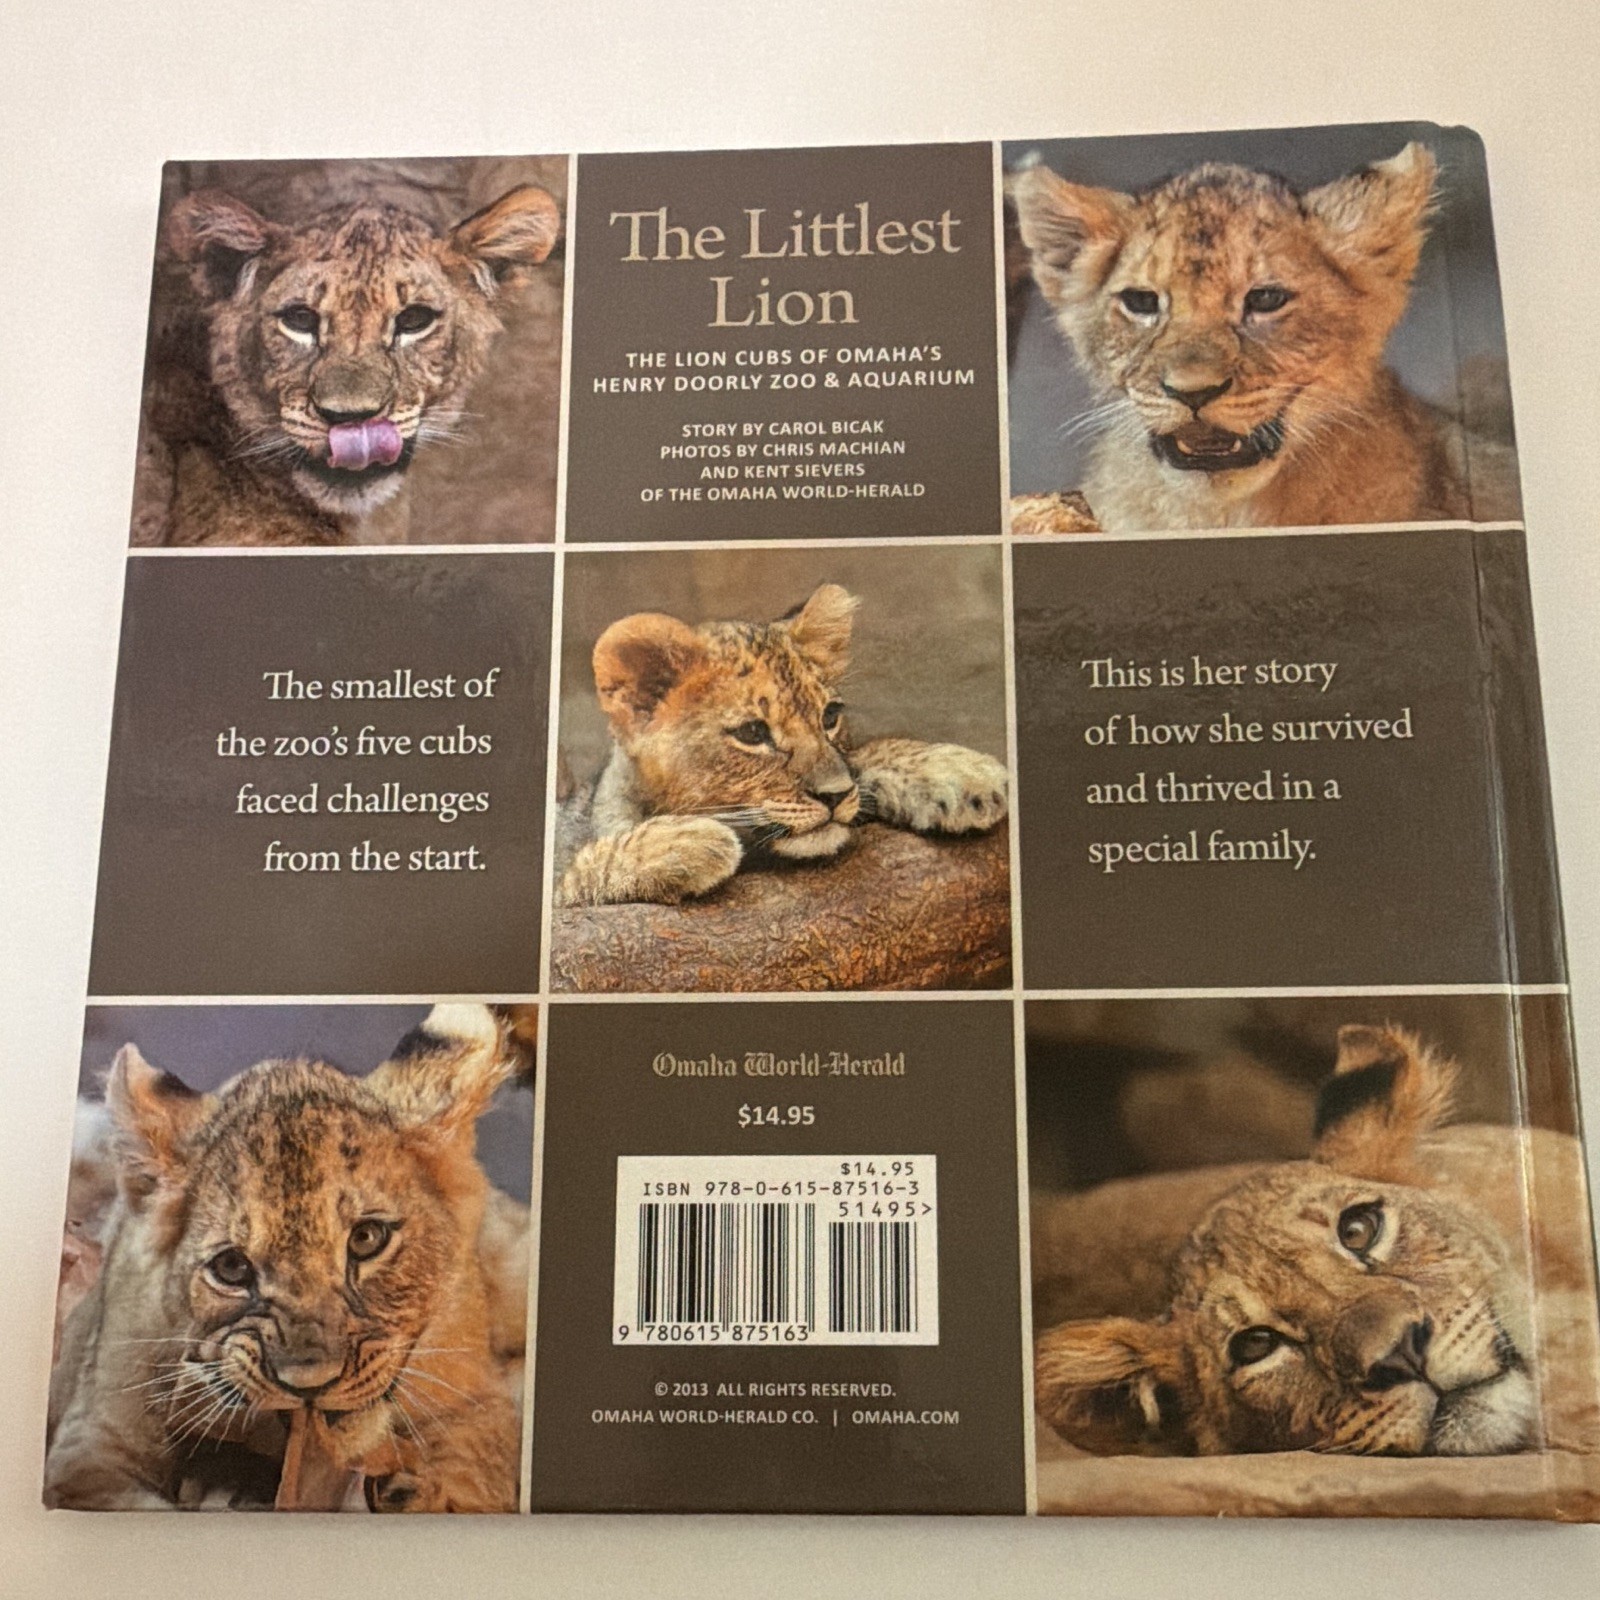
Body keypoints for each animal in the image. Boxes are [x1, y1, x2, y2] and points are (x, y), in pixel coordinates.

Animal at [45, 1004, 531, 1512]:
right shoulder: (91, 1446)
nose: (310, 1386)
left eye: (367, 1238)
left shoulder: (477, 1402)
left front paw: (414, 1493)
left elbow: (474, 1473)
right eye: (232, 1268)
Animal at [553, 582, 1009, 906]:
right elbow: (569, 875)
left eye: (830, 717)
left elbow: (859, 758)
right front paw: (685, 844)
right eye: (753, 734)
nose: (834, 796)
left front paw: (956, 772)